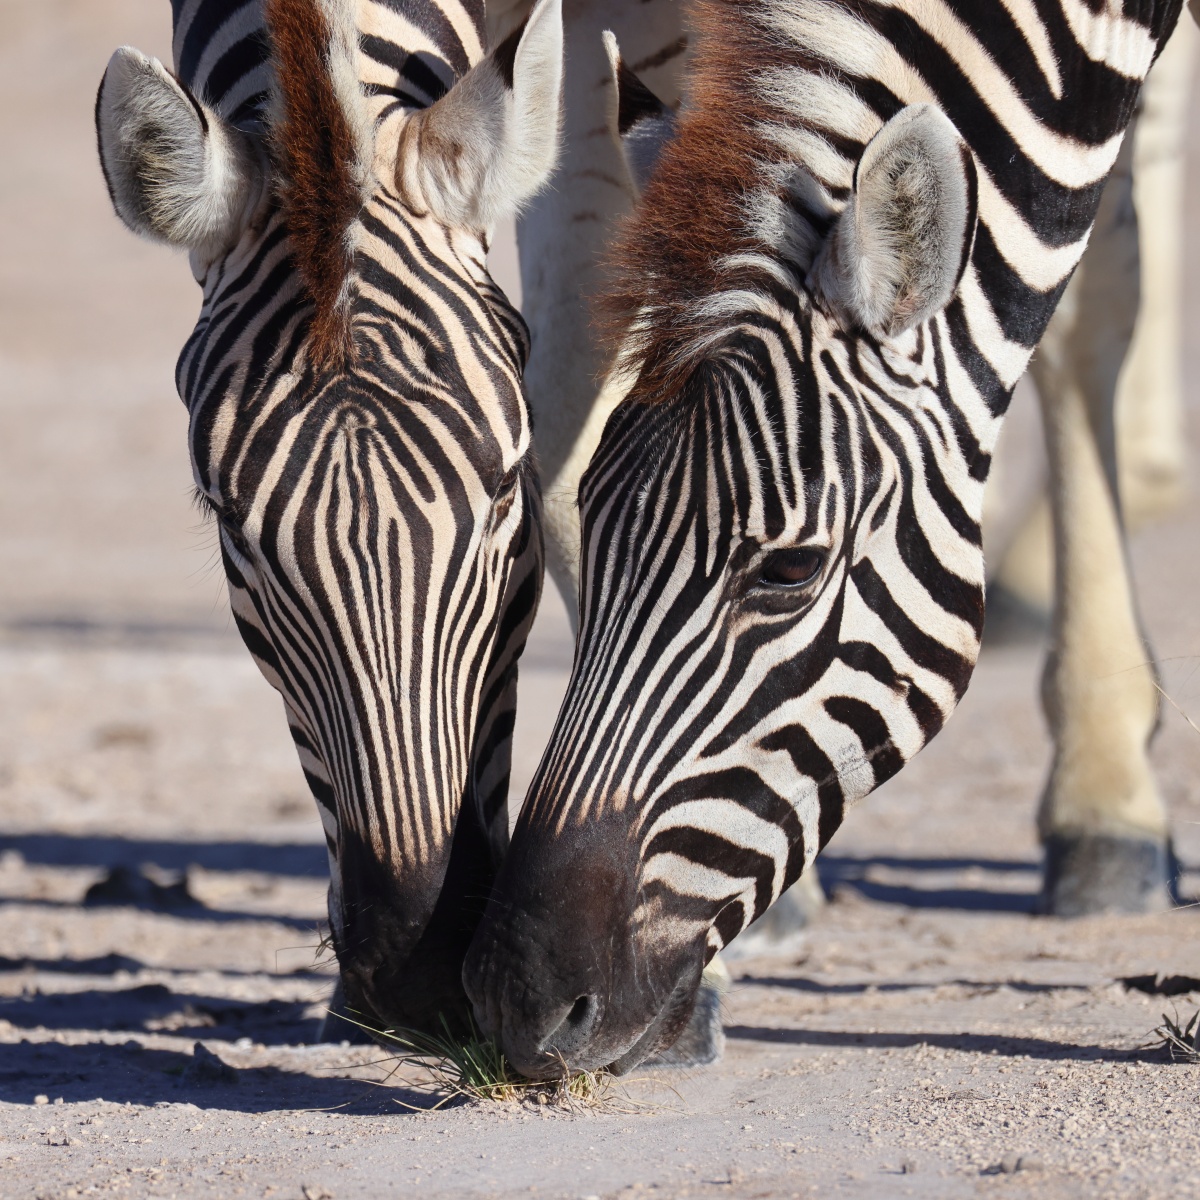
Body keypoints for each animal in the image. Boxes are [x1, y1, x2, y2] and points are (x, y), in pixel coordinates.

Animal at [464, 0, 1185, 1079]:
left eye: (791, 570)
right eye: (590, 529)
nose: (520, 999)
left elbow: (1085, 305)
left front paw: (1104, 798)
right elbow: (563, 389)